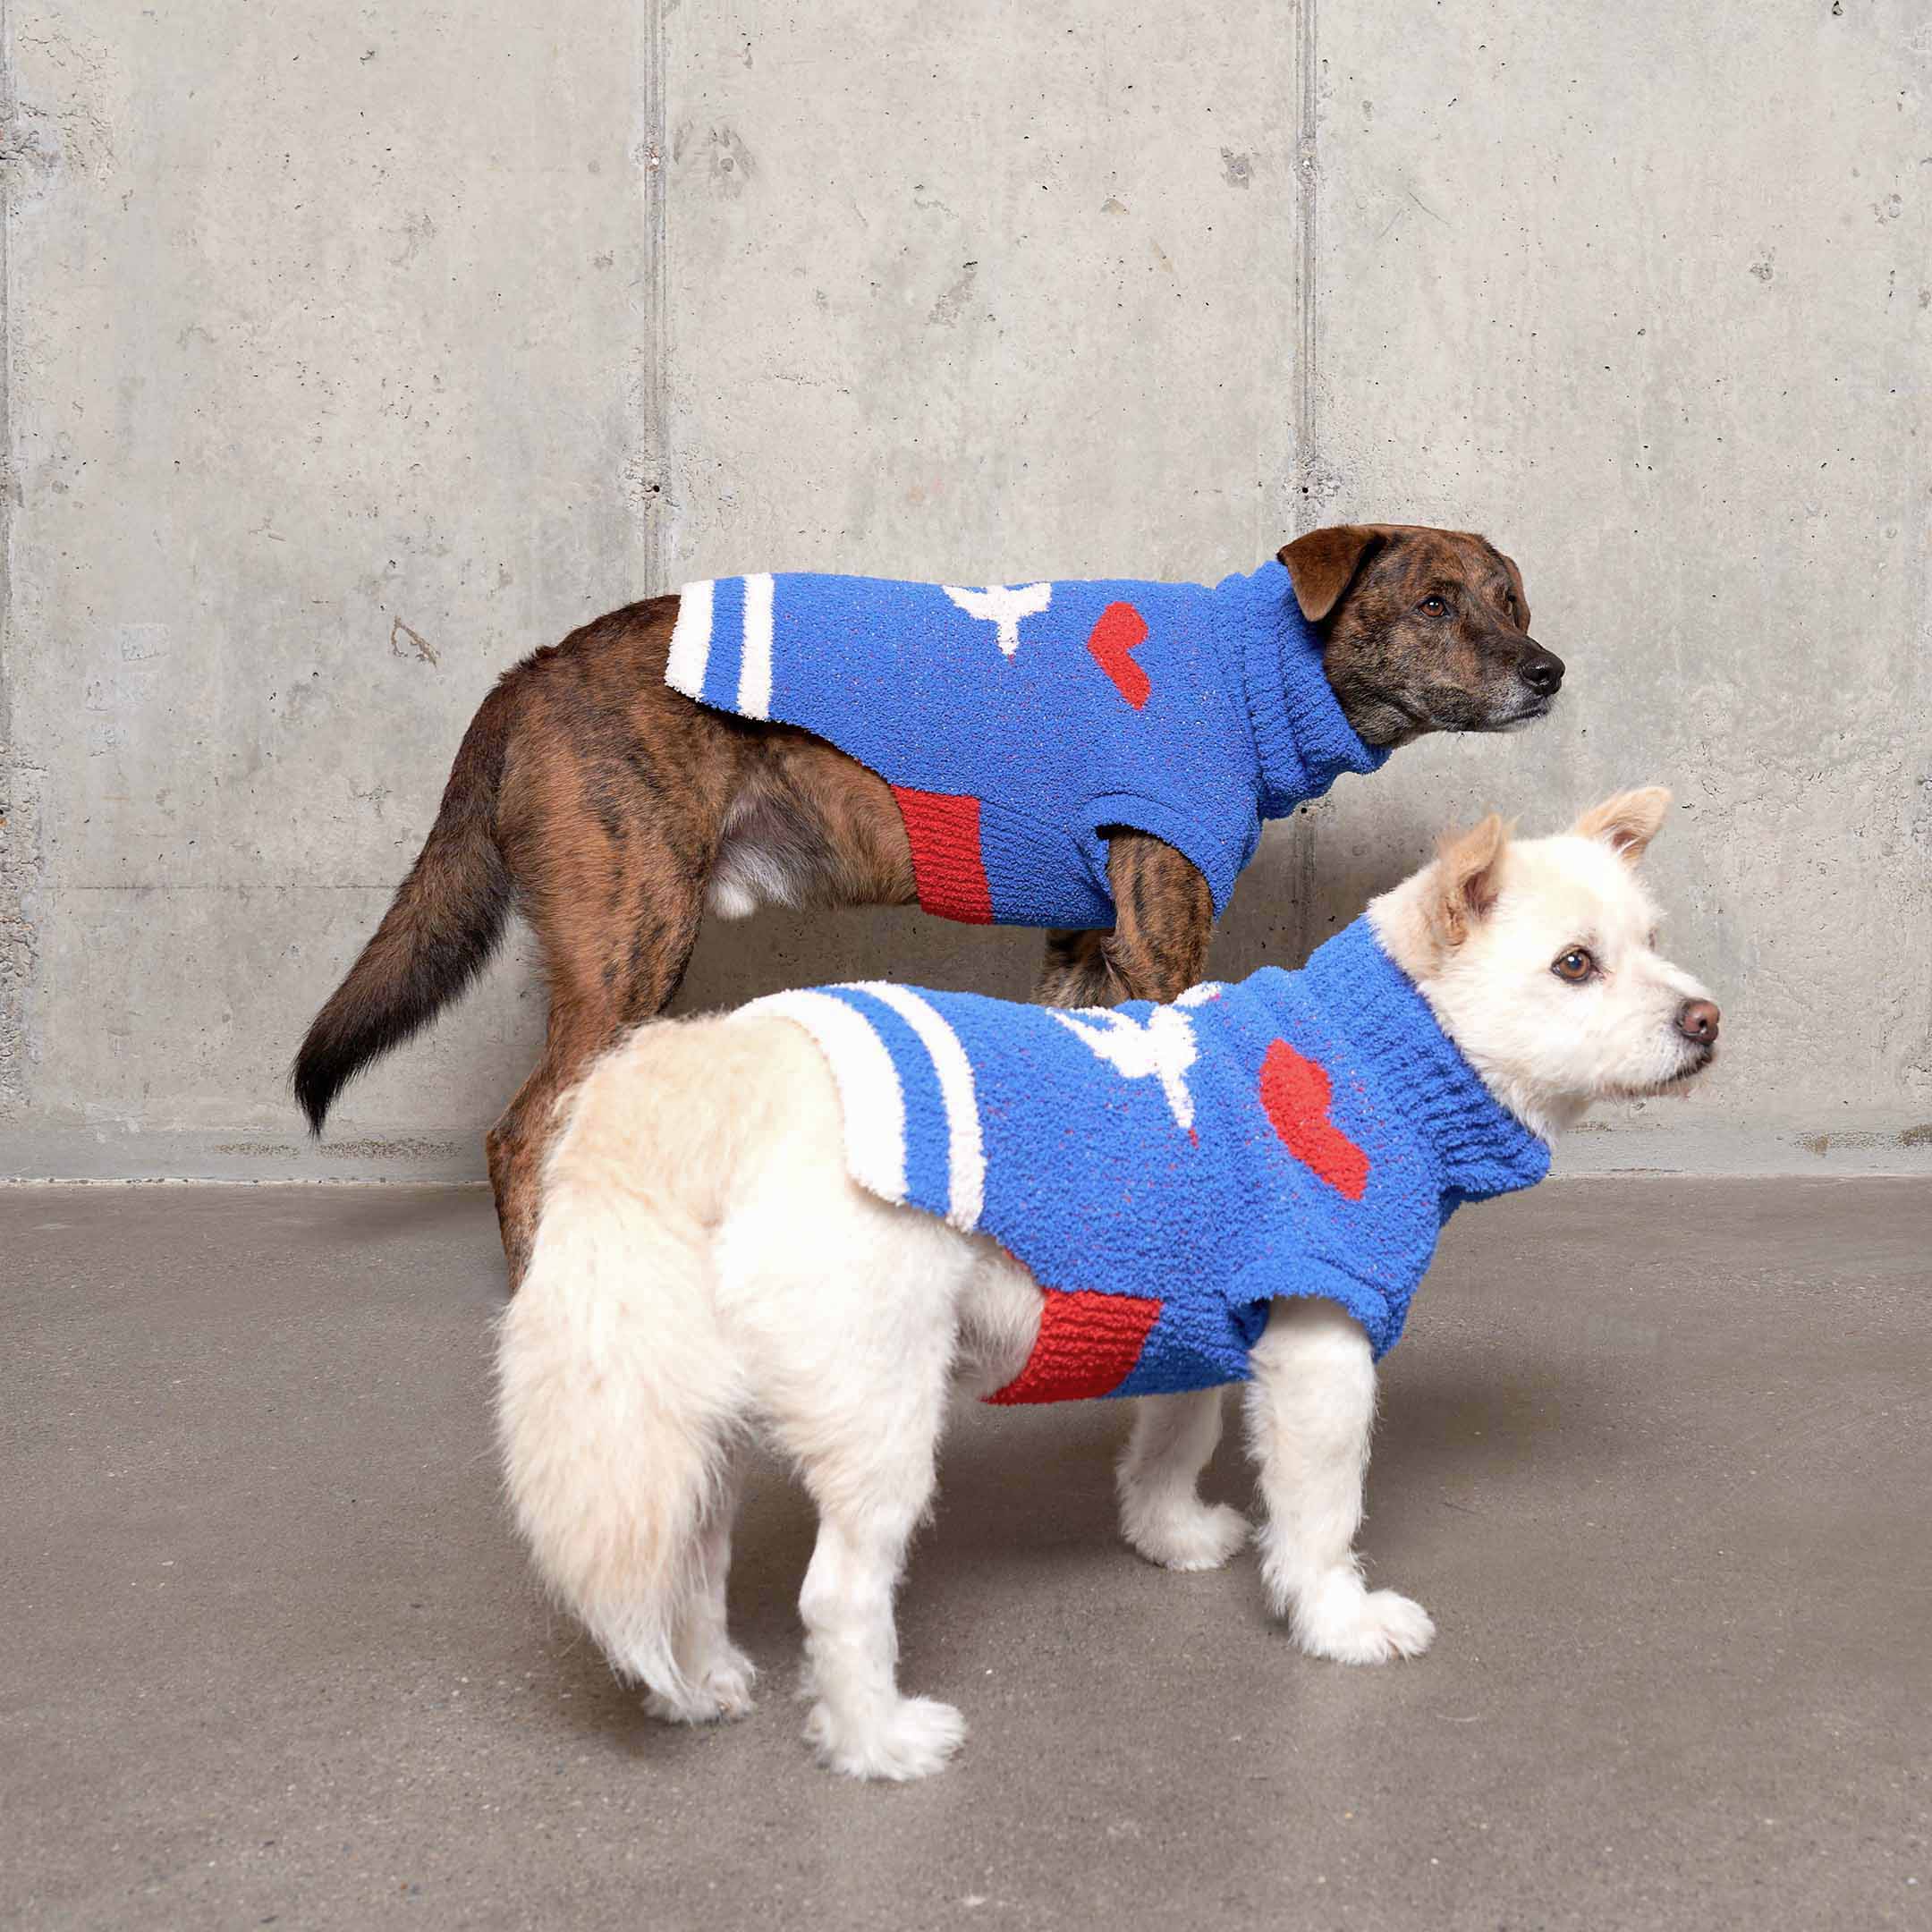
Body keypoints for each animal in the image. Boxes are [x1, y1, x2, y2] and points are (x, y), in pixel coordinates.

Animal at [293, 525, 1561, 1283]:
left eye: (1511, 599)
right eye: (1436, 604)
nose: (1549, 671)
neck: (1248, 675)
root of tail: (537, 669)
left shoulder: (1082, 945)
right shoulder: (1158, 947)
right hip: (631, 943)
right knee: (518, 1135)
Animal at [498, 784, 1723, 1777]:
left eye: (1655, 942)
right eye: (1576, 965)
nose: (1707, 1020)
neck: (1381, 1057)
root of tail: (720, 1066)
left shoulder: (1199, 1317)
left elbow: (1172, 1438)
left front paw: (1166, 1535)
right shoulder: (1321, 1350)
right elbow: (1323, 1511)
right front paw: (1337, 1620)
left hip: (693, 1416)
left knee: (689, 1555)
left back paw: (701, 1682)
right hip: (881, 1411)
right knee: (839, 1596)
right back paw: (876, 1742)